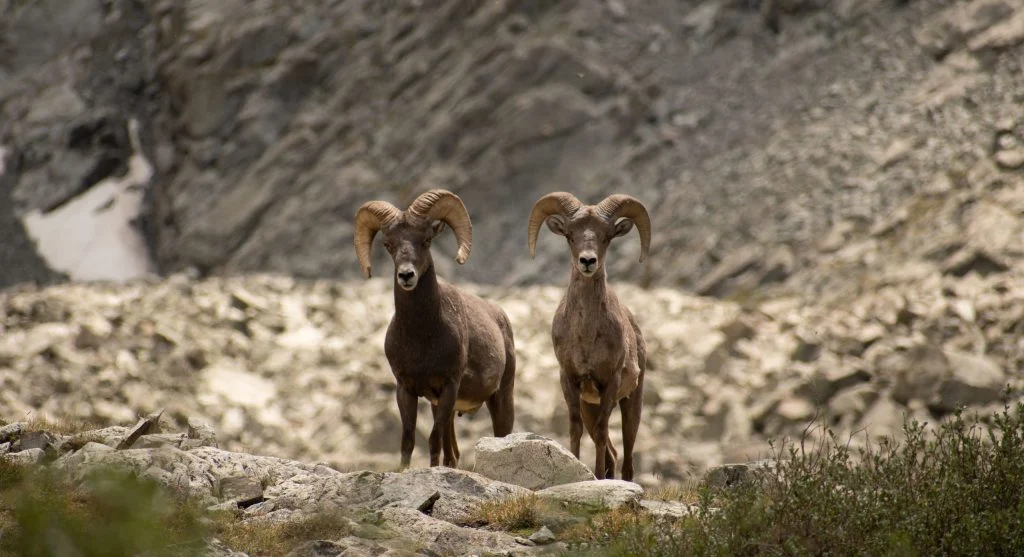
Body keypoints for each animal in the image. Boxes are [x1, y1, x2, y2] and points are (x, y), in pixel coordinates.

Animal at [354, 189, 516, 469]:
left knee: (500, 436)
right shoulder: (407, 390)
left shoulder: (449, 386)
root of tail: (501, 317)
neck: (422, 336)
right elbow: (408, 440)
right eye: (388, 245)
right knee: (453, 454)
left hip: (501, 397)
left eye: (426, 239)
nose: (406, 275)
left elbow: (432, 439)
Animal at [527, 191, 651, 481]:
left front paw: (596, 476)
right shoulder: (570, 381)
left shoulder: (610, 383)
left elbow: (604, 431)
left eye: (606, 237)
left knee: (627, 454)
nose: (587, 262)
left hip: (631, 402)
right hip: (589, 406)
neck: (586, 337)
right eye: (570, 235)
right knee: (611, 451)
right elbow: (575, 429)